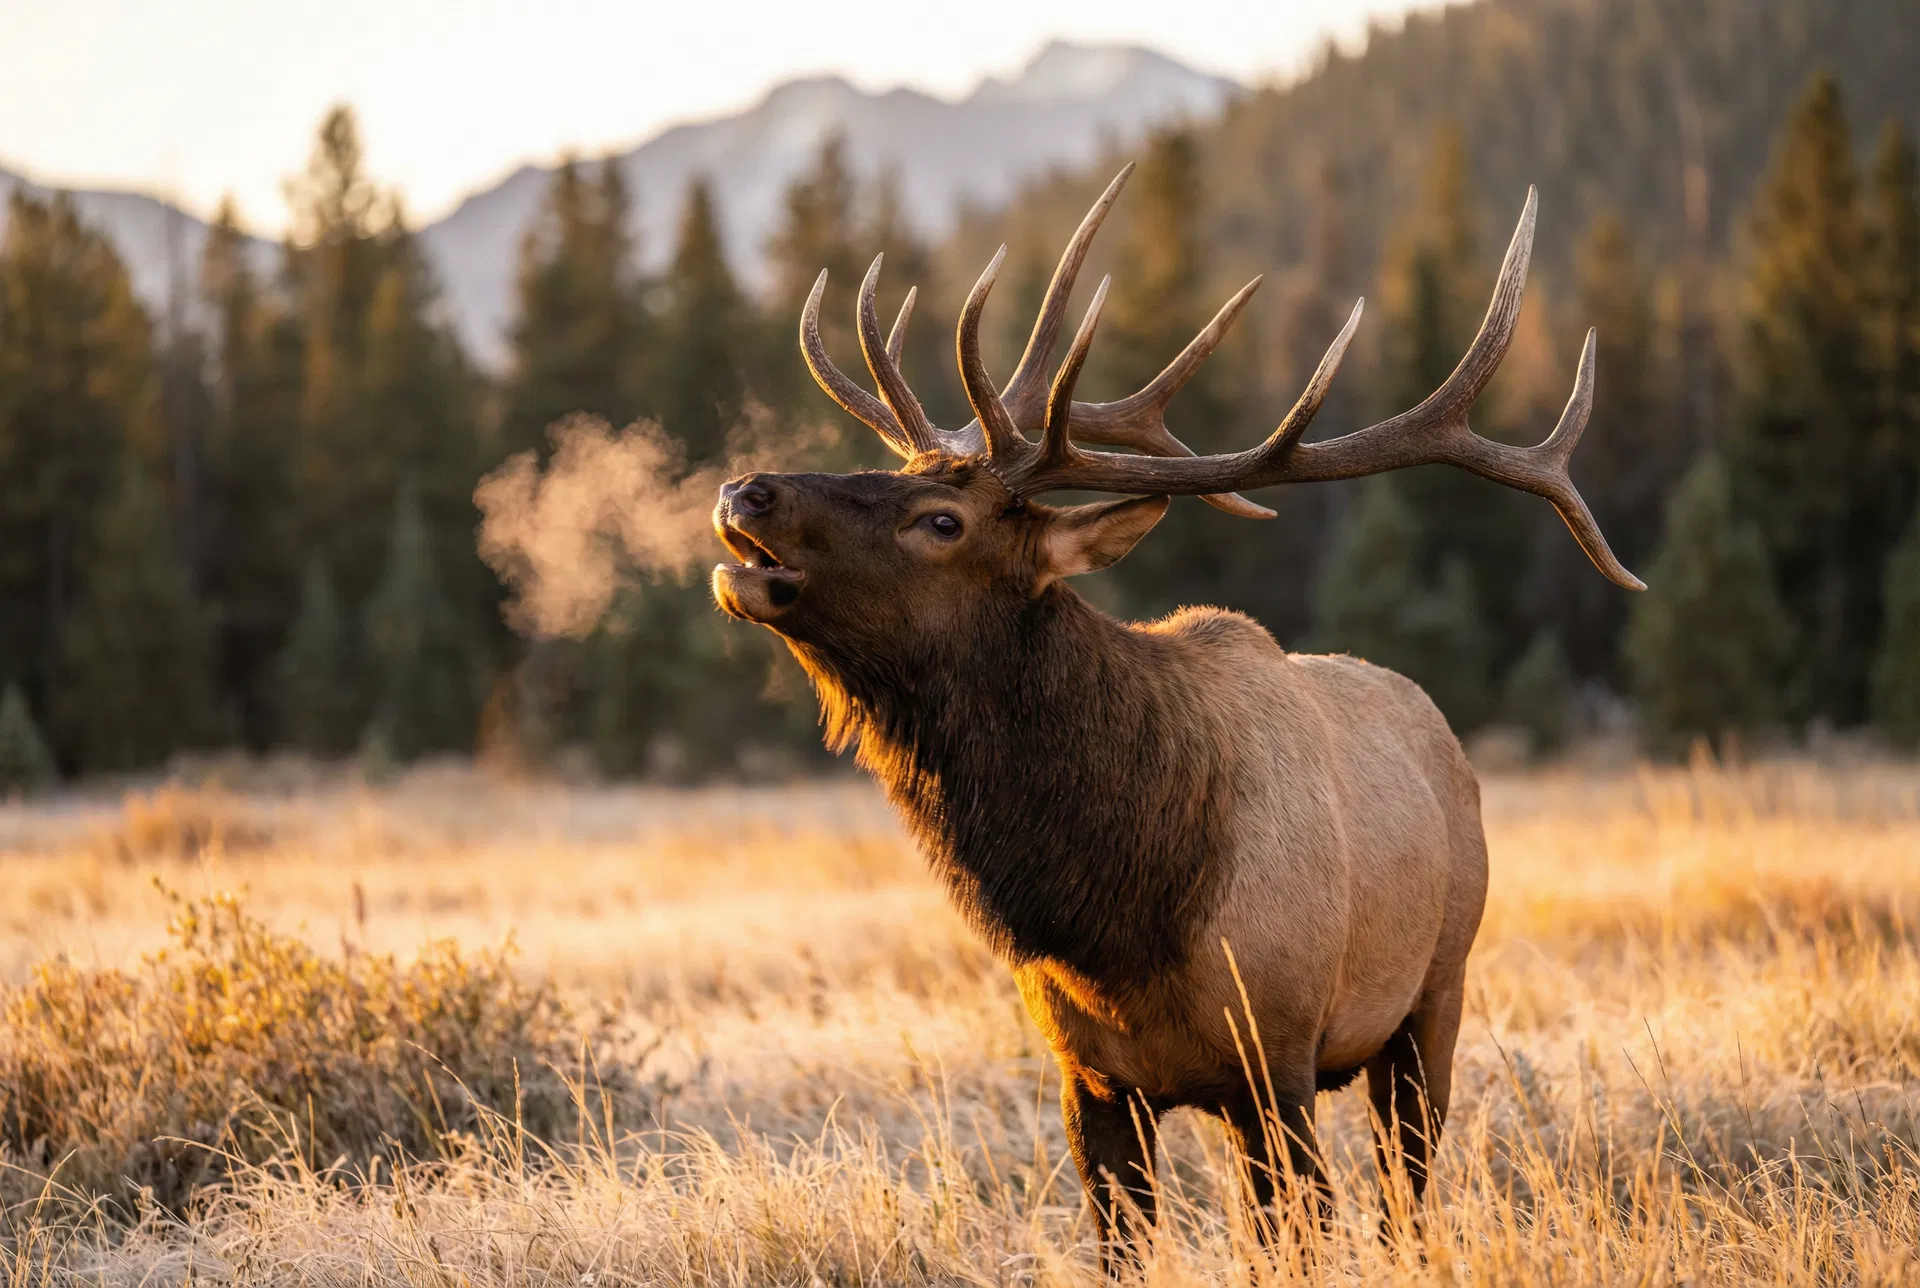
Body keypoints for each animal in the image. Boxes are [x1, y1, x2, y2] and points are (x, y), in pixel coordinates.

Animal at [709, 165, 1642, 1267]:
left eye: (942, 520)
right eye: (897, 476)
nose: (746, 490)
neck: (1121, 918)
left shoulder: (1277, 1059)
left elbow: (1304, 1238)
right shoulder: (1090, 1079)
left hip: (1435, 996)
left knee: (1407, 1192)